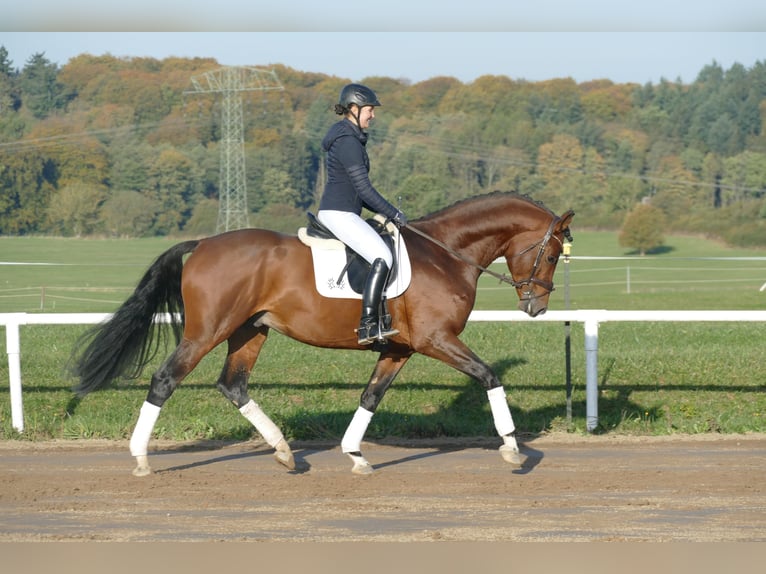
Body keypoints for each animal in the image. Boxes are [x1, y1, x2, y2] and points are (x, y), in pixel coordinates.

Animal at [73, 194, 576, 476]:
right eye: (552, 255)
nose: (537, 307)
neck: (446, 254)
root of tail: (203, 244)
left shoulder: (400, 348)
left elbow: (370, 397)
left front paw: (355, 455)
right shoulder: (436, 340)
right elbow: (490, 377)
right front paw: (512, 449)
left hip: (249, 331)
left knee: (233, 385)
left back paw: (284, 453)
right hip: (206, 332)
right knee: (165, 380)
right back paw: (141, 459)